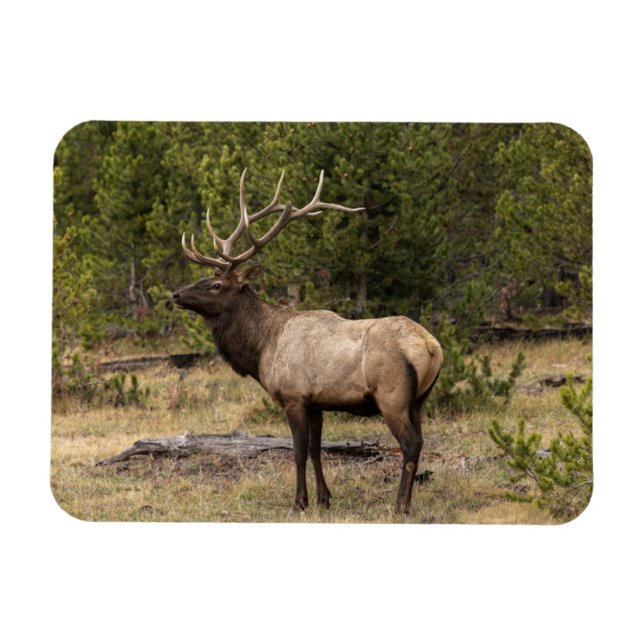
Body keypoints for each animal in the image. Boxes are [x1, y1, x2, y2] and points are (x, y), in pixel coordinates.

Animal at [172, 169, 443, 513]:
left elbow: (298, 451)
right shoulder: (317, 402)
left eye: (216, 284)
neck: (261, 349)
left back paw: (399, 505)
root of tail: (431, 346)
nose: (175, 294)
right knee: (420, 441)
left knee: (409, 444)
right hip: (420, 399)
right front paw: (324, 498)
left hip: (391, 395)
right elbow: (316, 449)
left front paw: (299, 501)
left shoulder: (294, 397)